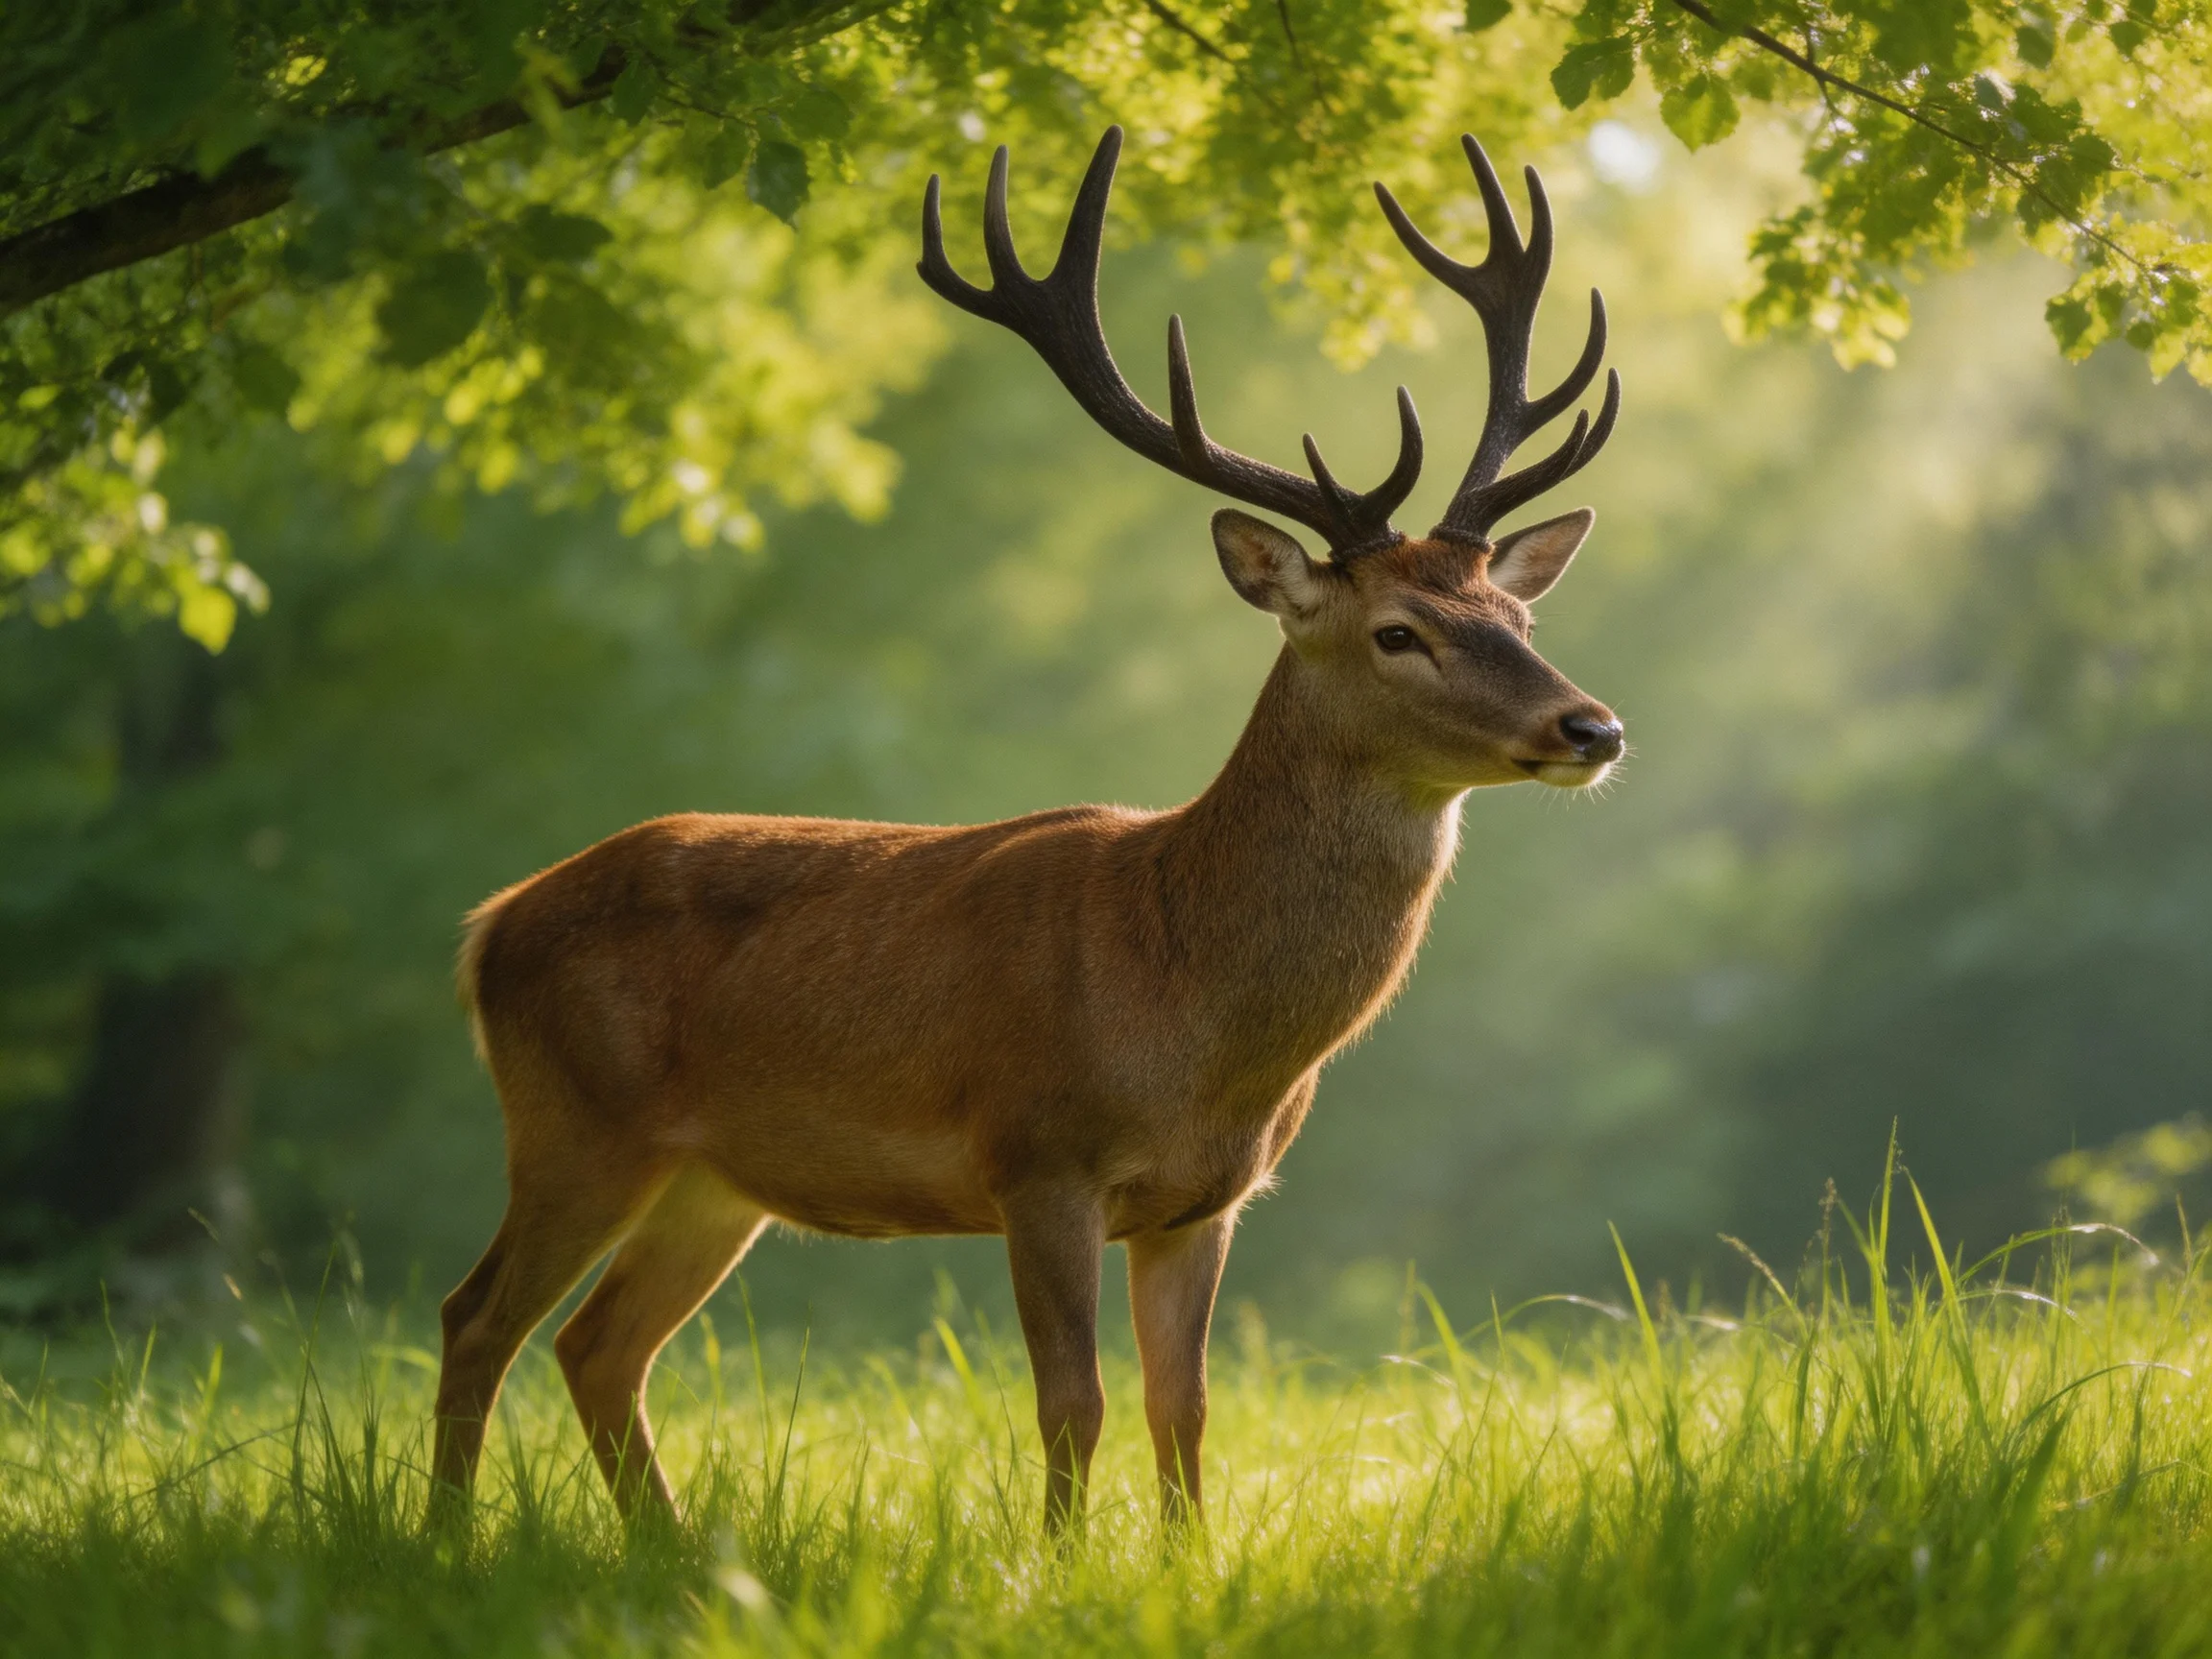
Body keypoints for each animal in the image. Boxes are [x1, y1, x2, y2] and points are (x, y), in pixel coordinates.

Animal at [430, 125, 1625, 1537]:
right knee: (477, 1318)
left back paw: (664, 1552)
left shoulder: (1207, 1200)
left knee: (597, 1344)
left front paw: (1188, 1564)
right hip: (576, 1121)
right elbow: (1075, 1402)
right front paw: (1055, 1565)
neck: (1188, 1003)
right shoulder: (1037, 1156)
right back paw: (445, 1544)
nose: (1592, 726)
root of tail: (490, 925)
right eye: (1399, 631)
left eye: (1518, 615)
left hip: (711, 1179)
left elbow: (1185, 1409)